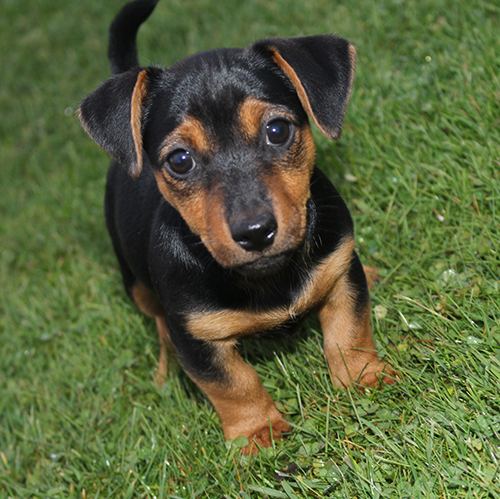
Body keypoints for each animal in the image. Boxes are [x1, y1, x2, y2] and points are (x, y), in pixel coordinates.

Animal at [79, 0, 394, 456]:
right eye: (180, 160)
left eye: (277, 130)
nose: (256, 231)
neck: (266, 278)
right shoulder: (197, 340)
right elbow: (234, 384)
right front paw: (257, 431)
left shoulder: (340, 275)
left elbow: (348, 331)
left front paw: (362, 376)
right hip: (133, 281)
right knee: (156, 320)